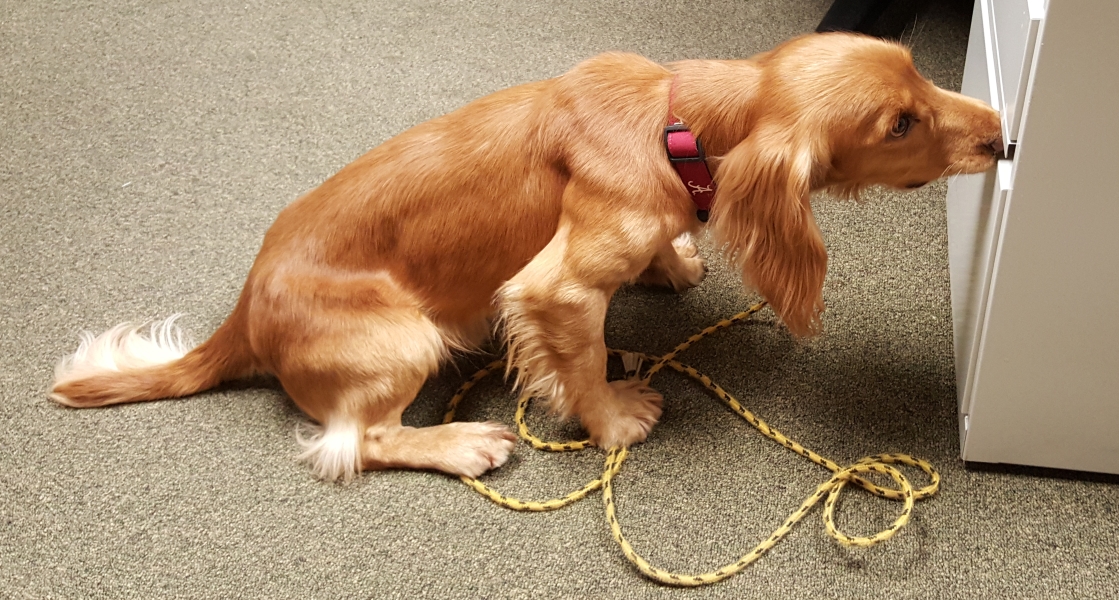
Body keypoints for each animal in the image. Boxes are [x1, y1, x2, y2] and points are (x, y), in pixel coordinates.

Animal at [48, 34, 1002, 483]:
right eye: (899, 124)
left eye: (921, 74)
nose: (1000, 134)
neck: (673, 122)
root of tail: (242, 313)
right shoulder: (555, 291)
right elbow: (578, 362)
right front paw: (613, 418)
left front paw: (670, 261)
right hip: (407, 338)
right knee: (359, 442)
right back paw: (461, 443)